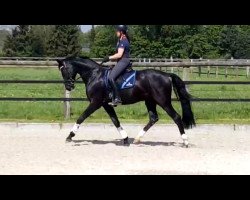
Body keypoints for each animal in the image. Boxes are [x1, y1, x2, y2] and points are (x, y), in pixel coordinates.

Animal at [56, 57, 195, 146]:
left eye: (63, 70)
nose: (69, 87)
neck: (94, 75)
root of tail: (167, 75)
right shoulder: (106, 104)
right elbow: (115, 120)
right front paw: (125, 138)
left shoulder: (96, 103)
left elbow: (81, 117)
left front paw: (70, 136)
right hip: (150, 101)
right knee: (153, 118)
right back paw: (137, 139)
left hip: (163, 102)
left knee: (176, 117)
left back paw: (186, 141)